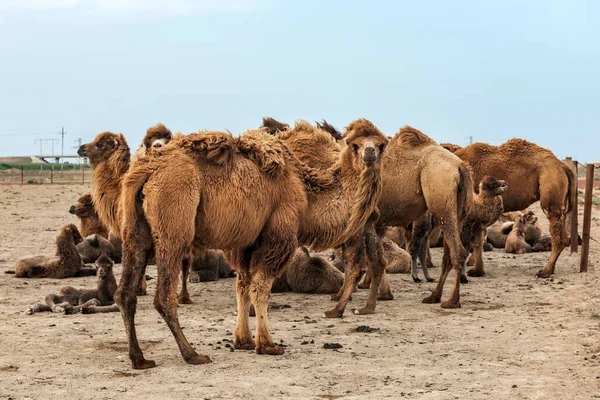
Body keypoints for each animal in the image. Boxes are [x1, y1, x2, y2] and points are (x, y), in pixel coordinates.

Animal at [116, 119, 390, 368]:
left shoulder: (246, 242)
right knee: (163, 295)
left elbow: (243, 286)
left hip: (135, 231)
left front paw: (243, 340)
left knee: (125, 293)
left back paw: (139, 358)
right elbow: (260, 288)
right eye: (355, 144)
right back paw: (192, 354)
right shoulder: (278, 235)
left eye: (381, 144)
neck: (306, 193)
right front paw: (267, 344)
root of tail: (148, 169)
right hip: (173, 220)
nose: (370, 153)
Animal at [268, 117, 474, 310]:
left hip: (441, 197)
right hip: (457, 209)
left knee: (457, 251)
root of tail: (460, 165)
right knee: (450, 252)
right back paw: (435, 296)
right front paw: (378, 293)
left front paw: (348, 294)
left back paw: (451, 300)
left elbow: (356, 258)